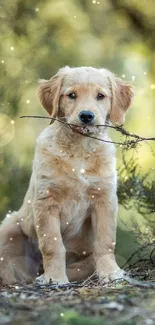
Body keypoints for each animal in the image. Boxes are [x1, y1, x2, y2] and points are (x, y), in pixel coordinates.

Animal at [0, 66, 133, 284]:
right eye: (71, 95)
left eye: (100, 96)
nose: (86, 115)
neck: (80, 148)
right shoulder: (46, 201)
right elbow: (52, 244)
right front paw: (54, 277)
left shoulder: (104, 199)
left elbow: (105, 241)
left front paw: (111, 273)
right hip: (9, 227)